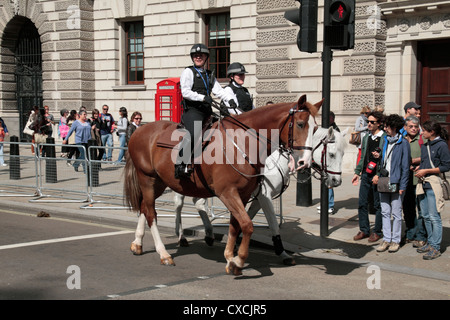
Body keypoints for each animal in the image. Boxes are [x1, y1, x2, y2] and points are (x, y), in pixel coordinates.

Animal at [123, 94, 322, 276]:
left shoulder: (243, 194)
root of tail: (140, 130)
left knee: (145, 206)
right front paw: (239, 261)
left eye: (315, 129)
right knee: (151, 212)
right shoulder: (229, 193)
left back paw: (138, 243)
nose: (305, 162)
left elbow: (236, 225)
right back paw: (164, 253)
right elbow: (248, 224)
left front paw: (230, 257)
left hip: (160, 182)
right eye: (300, 124)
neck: (242, 143)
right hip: (147, 179)